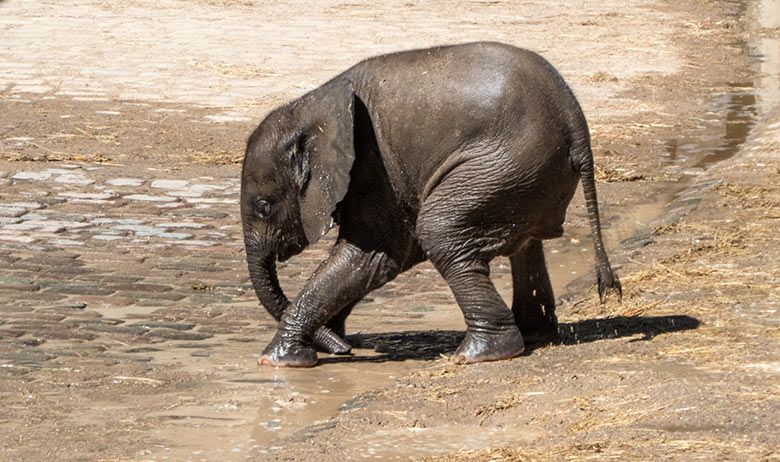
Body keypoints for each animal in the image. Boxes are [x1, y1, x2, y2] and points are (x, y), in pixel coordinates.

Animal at [241, 43, 620, 368]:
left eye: (263, 207)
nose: (347, 350)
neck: (308, 109)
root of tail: (576, 122)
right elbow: (384, 259)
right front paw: (329, 338)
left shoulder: (372, 165)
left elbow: (371, 256)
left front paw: (276, 360)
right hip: (525, 173)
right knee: (522, 242)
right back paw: (533, 335)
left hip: (507, 163)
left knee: (440, 231)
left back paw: (480, 353)